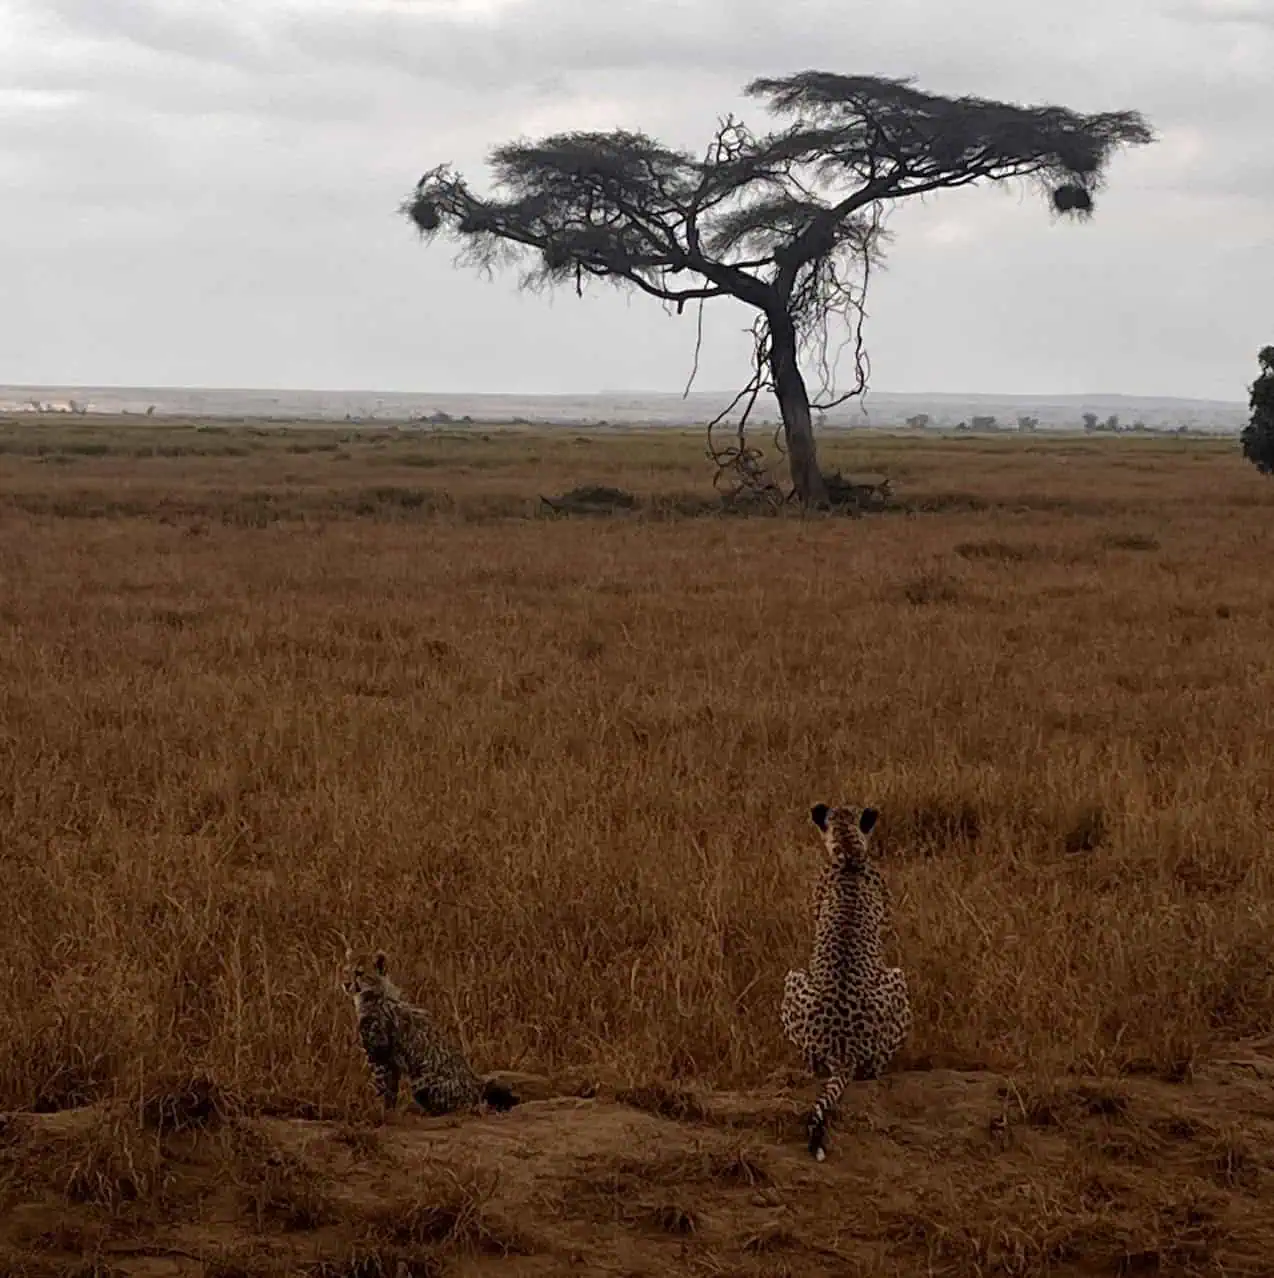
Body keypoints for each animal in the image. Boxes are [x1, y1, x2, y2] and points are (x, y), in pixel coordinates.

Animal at [342, 950, 518, 1117]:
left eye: (359, 973)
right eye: (346, 971)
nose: (345, 983)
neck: (376, 994)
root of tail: (476, 1084)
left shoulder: (380, 1057)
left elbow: (383, 1088)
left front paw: (378, 1110)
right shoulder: (390, 1061)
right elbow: (391, 1089)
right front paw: (387, 1109)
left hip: (421, 1081)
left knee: (463, 1106)